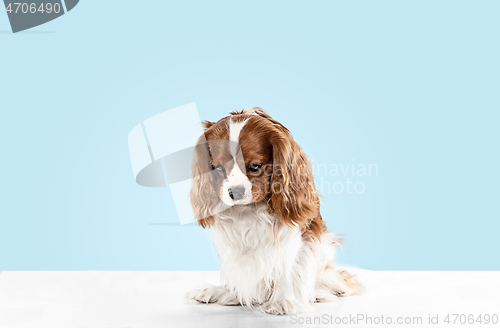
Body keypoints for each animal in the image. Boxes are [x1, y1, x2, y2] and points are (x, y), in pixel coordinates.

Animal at [186, 107, 362, 316]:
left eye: (255, 166)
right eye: (218, 168)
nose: (235, 192)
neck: (249, 209)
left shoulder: (295, 238)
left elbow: (287, 269)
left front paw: (282, 302)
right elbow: (235, 268)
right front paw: (231, 293)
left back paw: (316, 294)